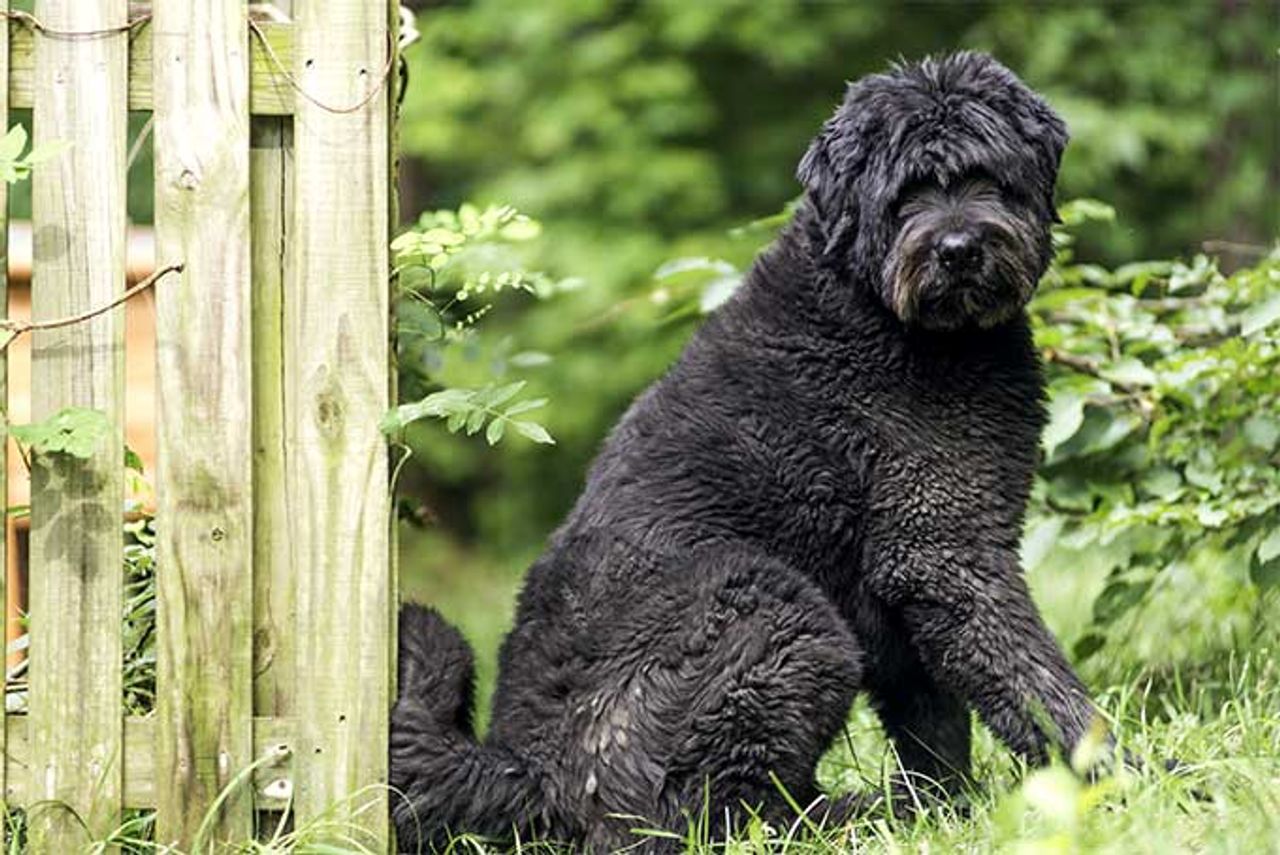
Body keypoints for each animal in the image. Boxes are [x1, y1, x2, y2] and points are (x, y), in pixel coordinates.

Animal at [391, 51, 1100, 849]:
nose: (958, 249)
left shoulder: (905, 584)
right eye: (905, 195)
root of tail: (528, 775)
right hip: (774, 608)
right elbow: (1034, 681)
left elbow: (936, 717)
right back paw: (853, 815)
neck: (878, 311)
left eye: (986, 176)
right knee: (711, 809)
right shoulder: (942, 550)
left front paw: (951, 804)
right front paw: (1120, 780)